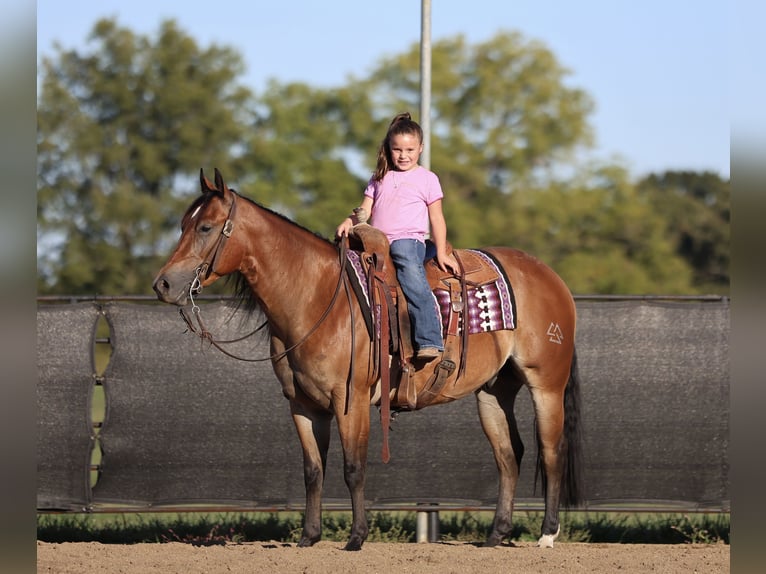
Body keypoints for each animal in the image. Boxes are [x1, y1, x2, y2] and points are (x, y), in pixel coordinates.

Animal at [153, 168, 583, 551]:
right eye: (183, 224)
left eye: (206, 227)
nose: (163, 284)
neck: (316, 296)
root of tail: (551, 278)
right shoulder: (302, 405)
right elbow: (313, 470)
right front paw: (309, 537)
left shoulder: (351, 401)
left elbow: (353, 468)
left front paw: (356, 538)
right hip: (493, 392)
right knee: (509, 455)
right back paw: (496, 534)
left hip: (546, 384)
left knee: (551, 451)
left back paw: (547, 534)